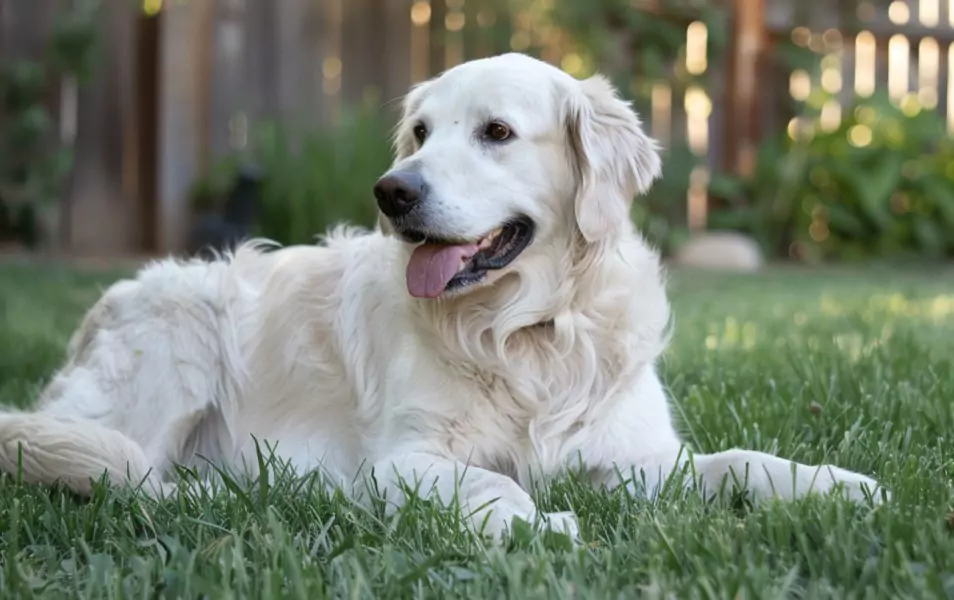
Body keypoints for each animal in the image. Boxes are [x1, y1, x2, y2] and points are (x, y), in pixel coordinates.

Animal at [0, 54, 884, 540]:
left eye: (497, 132)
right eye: (421, 132)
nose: (392, 191)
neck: (529, 332)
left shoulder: (637, 457)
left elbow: (742, 460)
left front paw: (836, 486)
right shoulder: (407, 459)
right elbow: (497, 483)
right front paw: (537, 528)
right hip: (174, 339)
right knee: (123, 469)